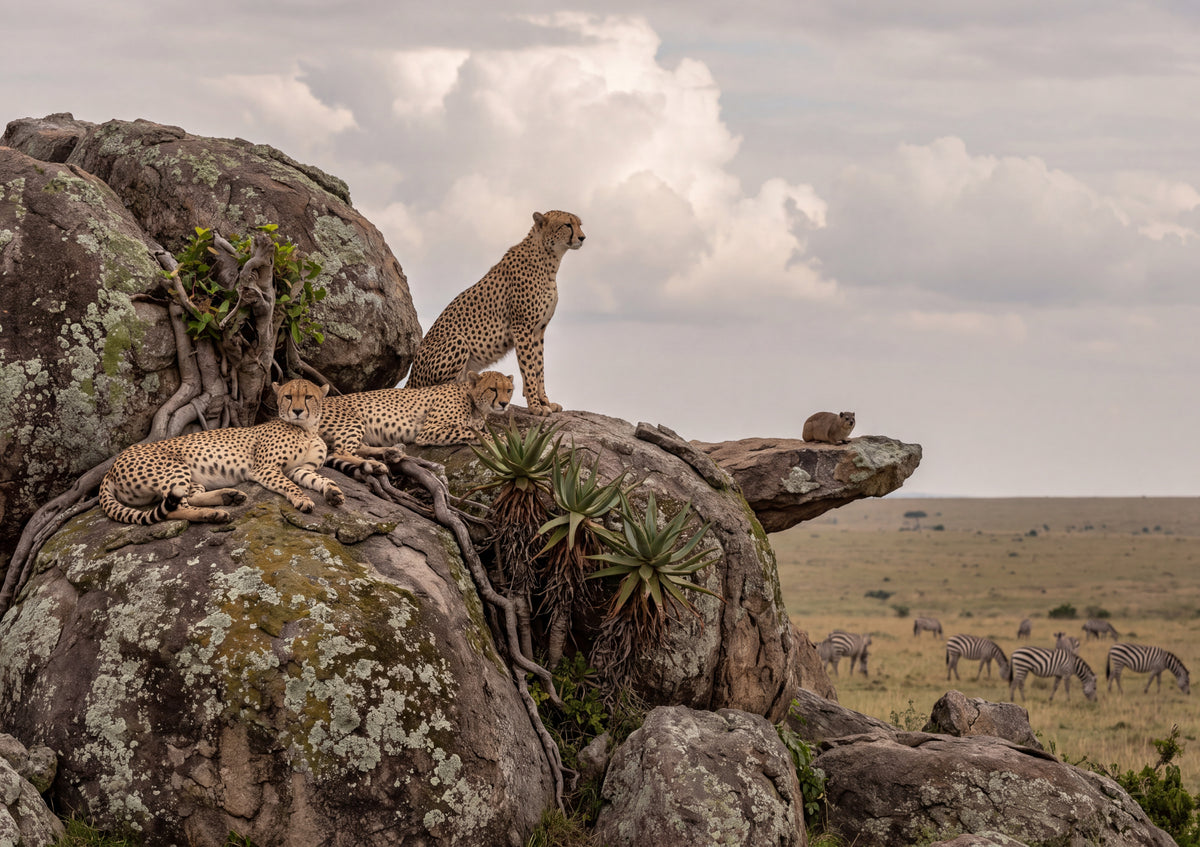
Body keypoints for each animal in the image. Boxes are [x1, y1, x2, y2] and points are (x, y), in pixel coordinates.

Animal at [99, 378, 345, 524]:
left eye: (308, 397)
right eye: (288, 397)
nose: (297, 411)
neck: (307, 429)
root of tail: (110, 467)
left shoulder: (299, 469)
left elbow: (318, 478)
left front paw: (333, 491)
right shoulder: (265, 469)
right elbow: (290, 485)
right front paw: (302, 499)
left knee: (190, 496)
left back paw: (228, 496)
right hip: (174, 468)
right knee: (174, 508)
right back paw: (212, 513)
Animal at [319, 370, 514, 476]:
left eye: (509, 390)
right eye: (493, 389)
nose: (504, 404)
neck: (473, 401)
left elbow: (472, 428)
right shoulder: (429, 430)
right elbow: (470, 430)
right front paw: (500, 438)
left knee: (356, 447)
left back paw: (391, 452)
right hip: (353, 420)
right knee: (339, 451)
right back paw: (375, 464)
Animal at [407, 210, 585, 415]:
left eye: (579, 224)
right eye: (567, 225)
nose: (582, 237)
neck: (549, 259)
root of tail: (410, 378)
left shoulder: (538, 330)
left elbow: (539, 367)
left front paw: (545, 401)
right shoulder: (521, 327)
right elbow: (529, 369)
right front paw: (535, 406)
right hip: (458, 341)